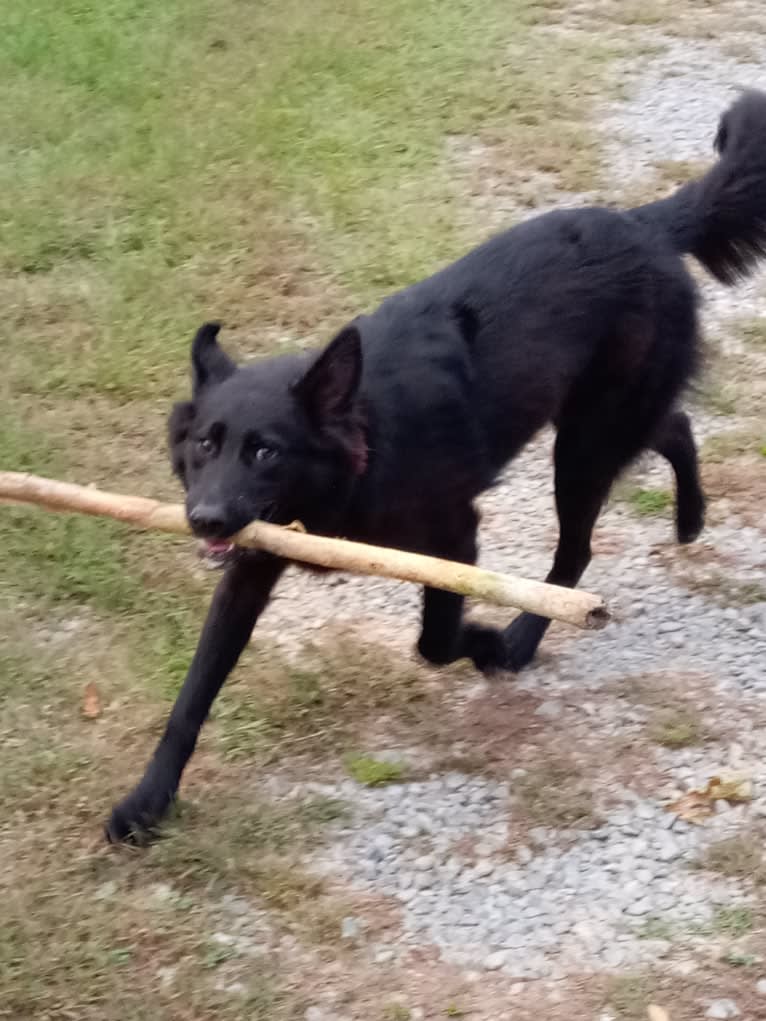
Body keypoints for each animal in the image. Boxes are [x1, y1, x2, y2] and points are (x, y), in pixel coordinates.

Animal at [106, 87, 766, 841]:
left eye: (265, 450)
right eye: (205, 447)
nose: (205, 518)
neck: (364, 448)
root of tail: (646, 224)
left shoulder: (454, 535)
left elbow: (436, 639)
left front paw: (484, 641)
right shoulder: (252, 563)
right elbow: (193, 693)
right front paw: (147, 801)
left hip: (583, 446)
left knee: (574, 554)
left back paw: (521, 640)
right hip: (599, 424)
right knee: (674, 426)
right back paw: (689, 518)